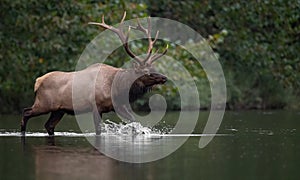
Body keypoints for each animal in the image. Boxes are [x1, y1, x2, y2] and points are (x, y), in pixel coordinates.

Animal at [20, 11, 169, 136]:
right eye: (147, 72)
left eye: (154, 67)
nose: (164, 78)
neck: (117, 88)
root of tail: (37, 81)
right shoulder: (96, 106)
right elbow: (98, 130)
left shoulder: (117, 105)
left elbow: (134, 121)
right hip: (44, 103)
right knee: (26, 112)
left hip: (58, 110)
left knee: (49, 125)